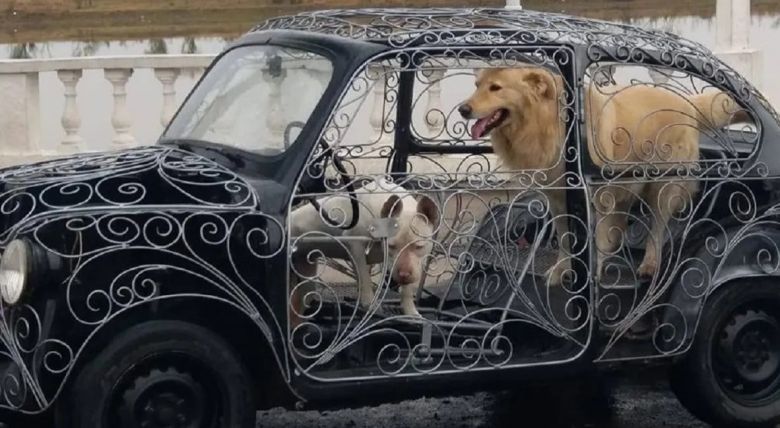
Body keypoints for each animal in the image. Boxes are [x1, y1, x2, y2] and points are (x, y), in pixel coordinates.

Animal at [290, 176, 442, 318]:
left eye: (419, 246)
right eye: (391, 246)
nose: (403, 274)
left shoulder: (413, 265)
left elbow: (407, 289)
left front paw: (411, 311)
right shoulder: (356, 245)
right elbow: (364, 277)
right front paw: (370, 304)